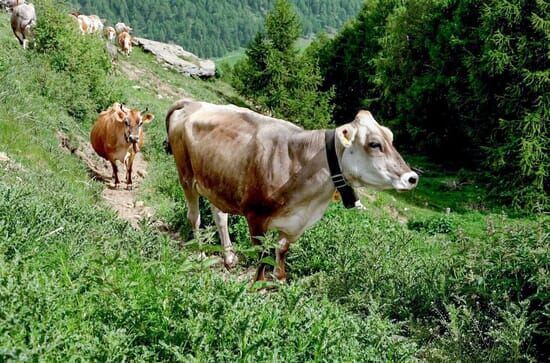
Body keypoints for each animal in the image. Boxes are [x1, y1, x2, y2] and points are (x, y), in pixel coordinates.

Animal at [166, 100, 420, 284]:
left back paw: (228, 257)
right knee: (194, 217)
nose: (412, 178)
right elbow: (263, 255)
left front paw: (279, 279)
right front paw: (258, 286)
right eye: (374, 144)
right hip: (185, 176)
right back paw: (200, 254)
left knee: (220, 216)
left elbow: (282, 250)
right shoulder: (255, 217)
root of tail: (192, 103)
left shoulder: (295, 225)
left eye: (391, 138)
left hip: (216, 180)